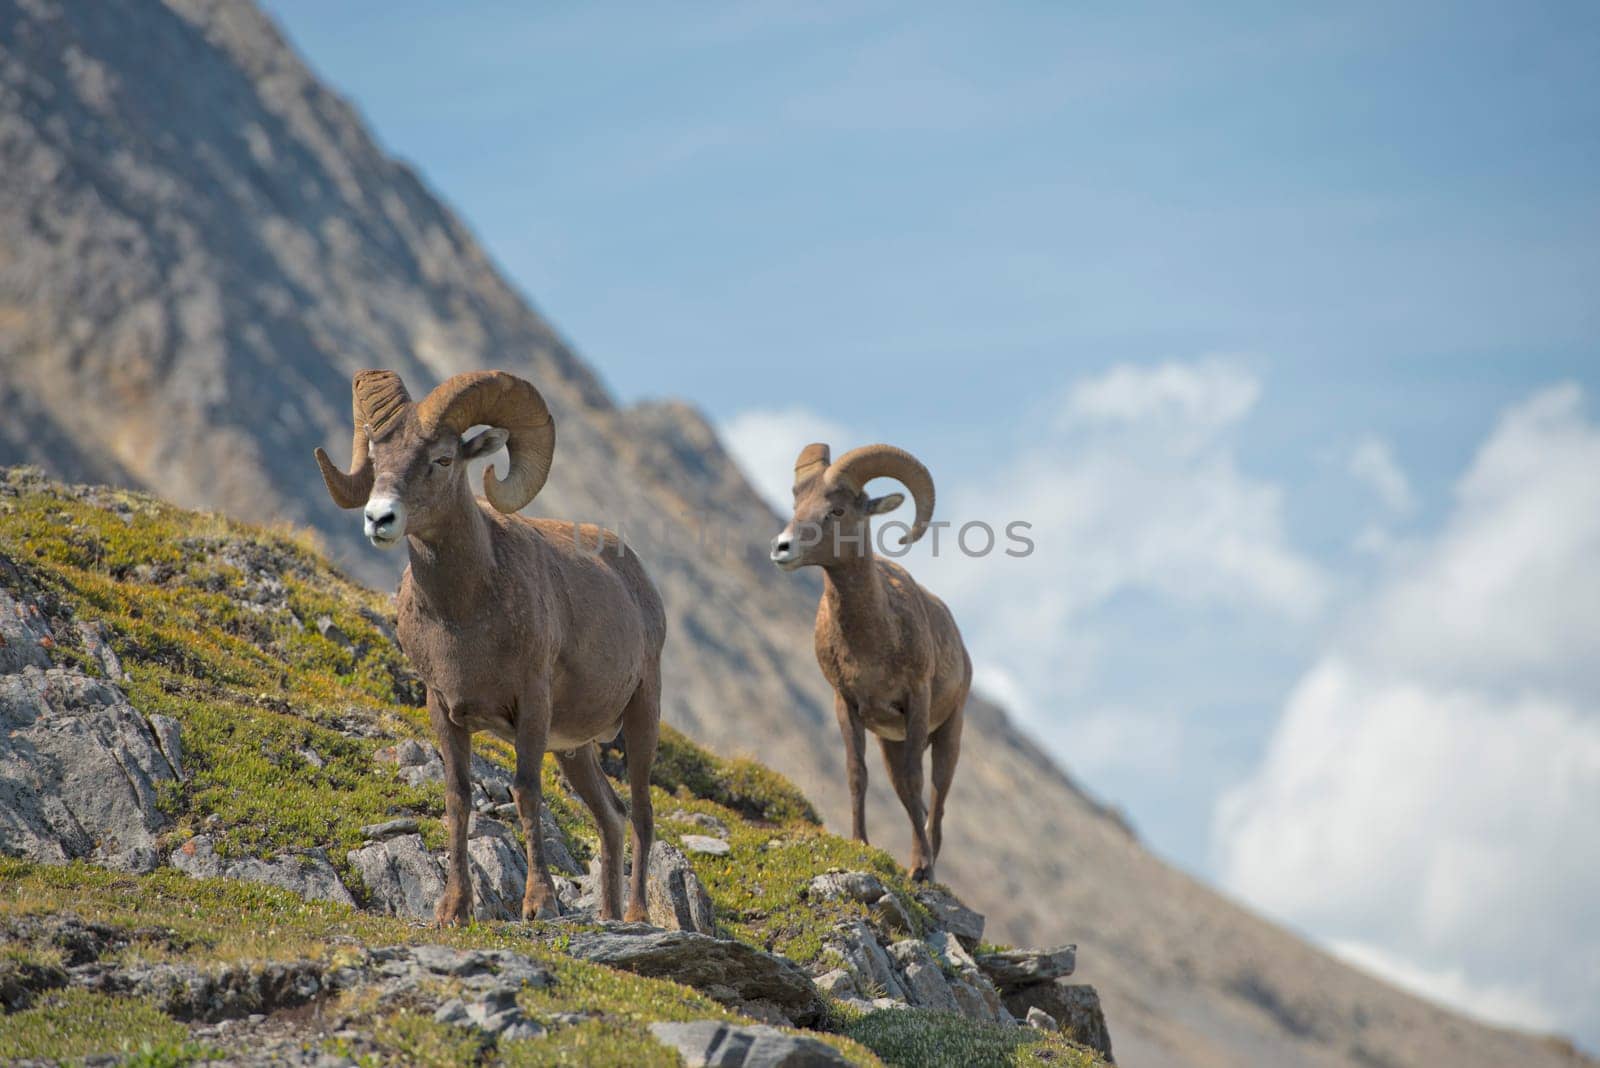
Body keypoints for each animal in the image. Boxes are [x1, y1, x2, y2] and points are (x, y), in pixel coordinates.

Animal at [315, 374, 665, 927]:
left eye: (442, 459)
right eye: (377, 454)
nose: (379, 518)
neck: (465, 613)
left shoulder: (532, 705)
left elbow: (525, 792)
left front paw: (539, 905)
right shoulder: (443, 709)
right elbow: (458, 799)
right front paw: (453, 909)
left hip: (642, 714)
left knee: (643, 815)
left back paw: (635, 917)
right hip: (574, 749)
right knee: (611, 816)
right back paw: (608, 915)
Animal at [768, 441, 966, 882]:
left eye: (837, 510)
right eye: (797, 503)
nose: (781, 548)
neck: (872, 640)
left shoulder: (916, 700)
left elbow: (916, 780)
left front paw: (920, 867)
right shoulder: (848, 705)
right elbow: (857, 774)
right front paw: (861, 842)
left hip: (949, 733)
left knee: (936, 800)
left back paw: (929, 864)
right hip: (890, 741)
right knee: (910, 797)